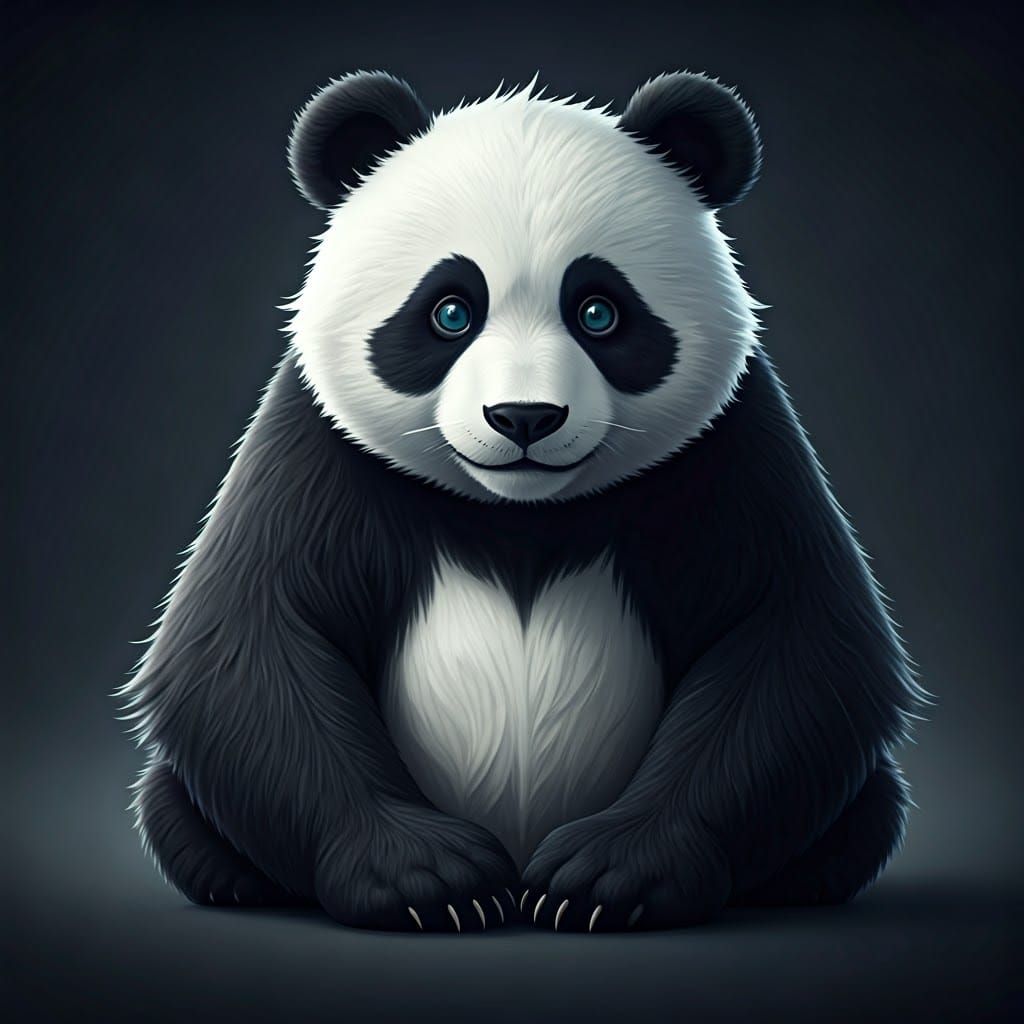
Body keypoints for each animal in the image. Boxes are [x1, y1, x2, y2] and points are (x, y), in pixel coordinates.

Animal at [119, 70, 925, 933]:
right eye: (450, 311)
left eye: (599, 311)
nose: (525, 418)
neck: (520, 514)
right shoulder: (316, 456)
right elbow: (246, 646)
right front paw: (430, 879)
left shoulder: (731, 457)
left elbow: (798, 641)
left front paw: (605, 877)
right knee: (171, 802)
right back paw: (235, 877)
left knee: (871, 805)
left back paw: (803, 876)